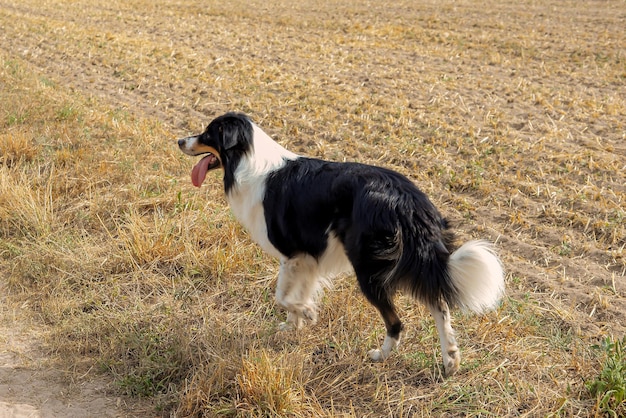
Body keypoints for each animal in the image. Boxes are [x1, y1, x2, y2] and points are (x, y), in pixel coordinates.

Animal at [176, 111, 502, 376]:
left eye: (208, 133)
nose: (179, 140)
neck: (247, 161)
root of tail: (408, 201)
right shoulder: (305, 259)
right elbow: (293, 295)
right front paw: (293, 325)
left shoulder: (293, 253)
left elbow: (282, 296)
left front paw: (307, 314)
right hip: (408, 263)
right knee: (439, 304)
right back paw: (450, 359)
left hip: (369, 270)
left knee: (397, 321)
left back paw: (381, 355)